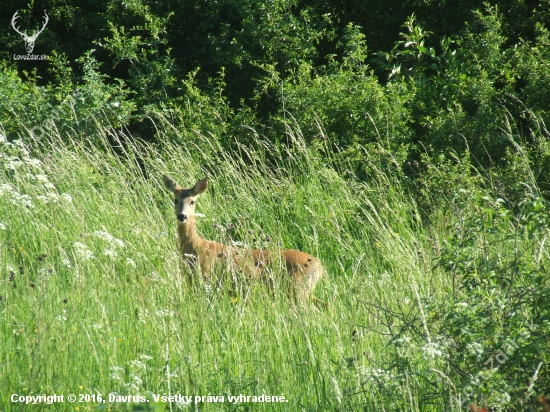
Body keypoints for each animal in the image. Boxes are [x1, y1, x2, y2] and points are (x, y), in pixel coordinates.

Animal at [165, 173, 328, 302]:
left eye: (192, 201)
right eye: (175, 200)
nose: (182, 216)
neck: (196, 247)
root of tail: (319, 265)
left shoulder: (207, 278)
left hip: (298, 288)